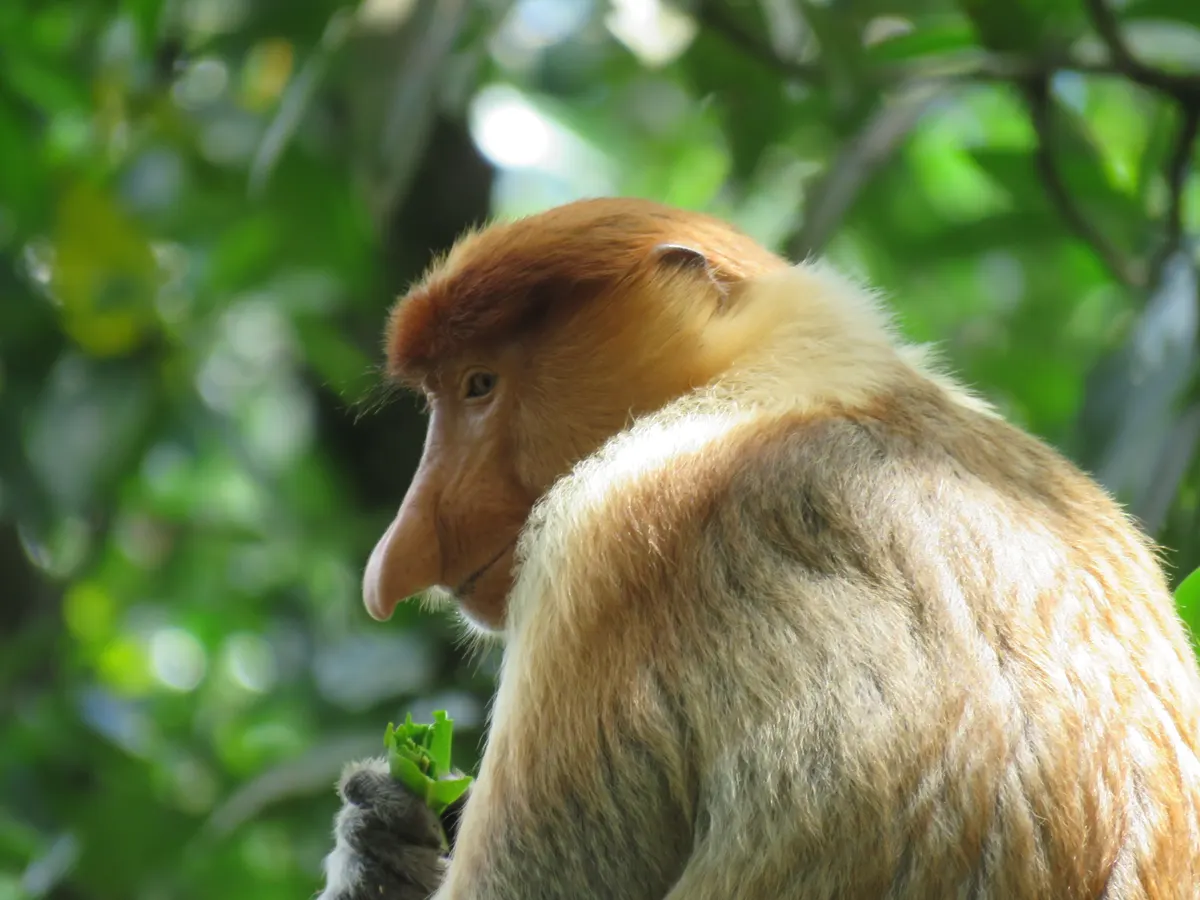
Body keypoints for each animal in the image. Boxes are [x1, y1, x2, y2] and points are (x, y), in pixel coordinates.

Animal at [318, 197, 1200, 899]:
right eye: (446, 393)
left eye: (479, 385)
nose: (392, 565)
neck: (764, 382)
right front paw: (384, 833)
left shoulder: (602, 549)